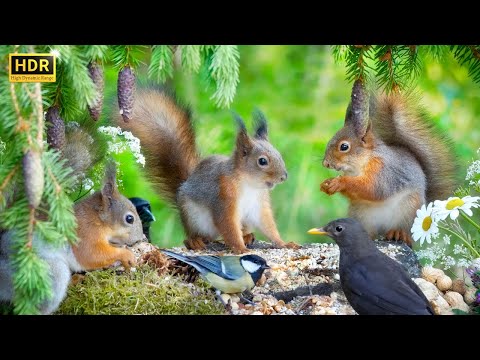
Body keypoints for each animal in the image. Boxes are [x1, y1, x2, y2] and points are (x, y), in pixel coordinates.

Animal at [320, 80, 456, 246]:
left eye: (344, 146)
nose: (326, 163)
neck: (360, 164)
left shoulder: (384, 170)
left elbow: (374, 188)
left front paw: (339, 183)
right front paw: (326, 184)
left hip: (409, 210)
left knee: (404, 231)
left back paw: (399, 233)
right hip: (361, 215)